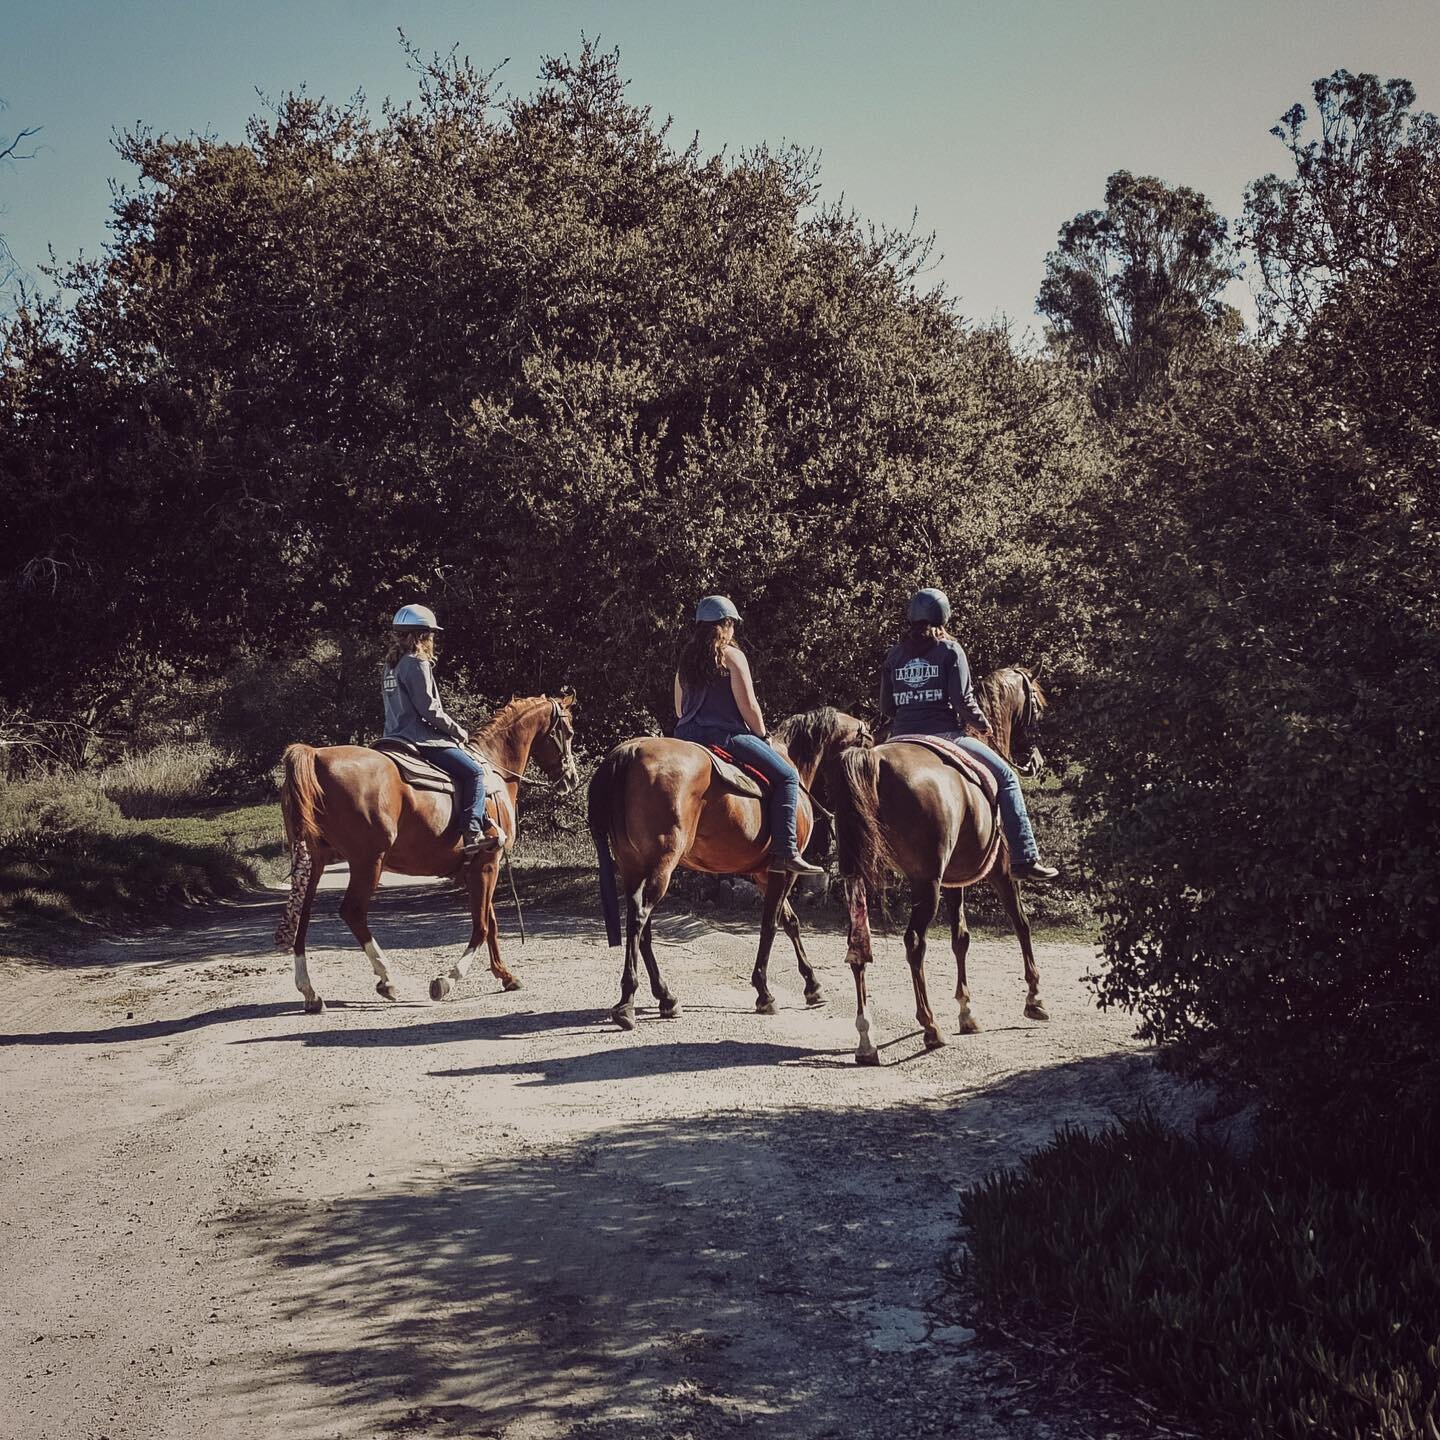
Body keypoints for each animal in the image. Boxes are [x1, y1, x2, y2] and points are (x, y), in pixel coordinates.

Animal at [275, 694, 578, 1013]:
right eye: (569, 732)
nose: (571, 778)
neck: (495, 771)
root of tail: (316, 756)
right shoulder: (488, 863)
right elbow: (482, 927)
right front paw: (447, 980)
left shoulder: (478, 867)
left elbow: (490, 922)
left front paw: (506, 975)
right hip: (368, 862)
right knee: (353, 912)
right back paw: (387, 979)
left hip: (315, 861)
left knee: (303, 916)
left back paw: (310, 992)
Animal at [581, 705, 869, 1025]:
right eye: (866, 740)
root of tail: (629, 751)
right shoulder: (784, 871)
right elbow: (771, 926)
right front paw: (765, 992)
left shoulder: (764, 874)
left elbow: (790, 922)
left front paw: (812, 985)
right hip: (661, 867)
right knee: (639, 921)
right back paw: (627, 1003)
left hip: (633, 868)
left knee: (641, 926)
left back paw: (666, 998)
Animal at [829, 662, 1054, 1059]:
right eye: (1038, 707)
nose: (1037, 759)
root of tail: (874, 759)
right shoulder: (1001, 872)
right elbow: (1022, 924)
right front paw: (1034, 998)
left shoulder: (954, 880)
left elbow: (960, 937)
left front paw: (967, 1011)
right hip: (926, 883)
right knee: (914, 943)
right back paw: (930, 1027)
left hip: (857, 879)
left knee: (858, 949)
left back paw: (866, 1038)